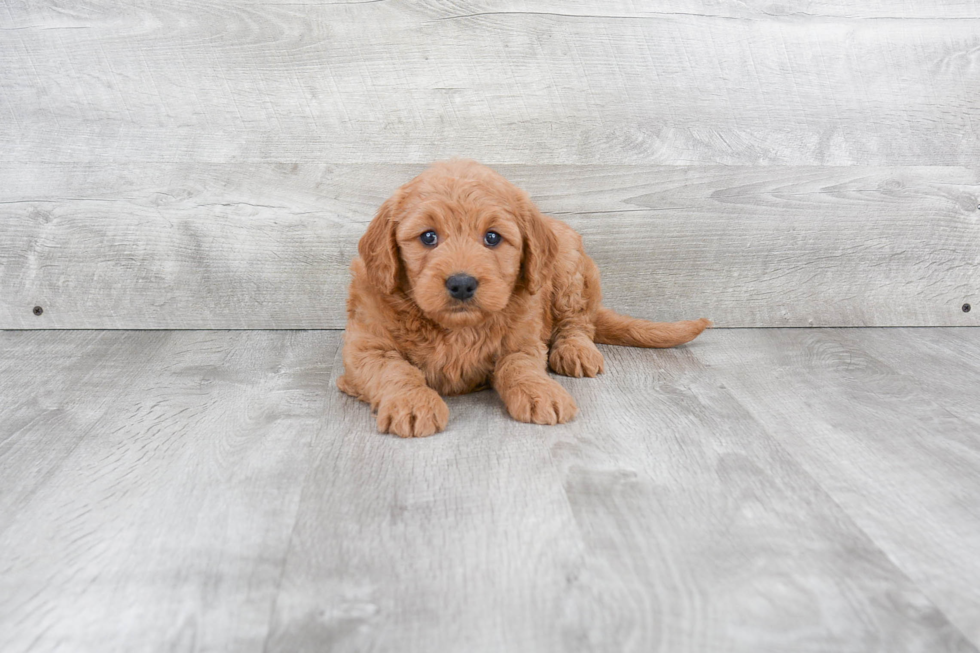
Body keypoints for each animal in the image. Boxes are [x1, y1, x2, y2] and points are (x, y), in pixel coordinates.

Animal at [334, 160, 704, 438]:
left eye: (492, 238)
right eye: (428, 237)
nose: (462, 284)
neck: (456, 328)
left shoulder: (524, 341)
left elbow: (520, 366)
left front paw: (541, 391)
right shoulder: (366, 348)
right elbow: (394, 370)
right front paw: (412, 404)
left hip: (569, 268)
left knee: (578, 322)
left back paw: (575, 350)